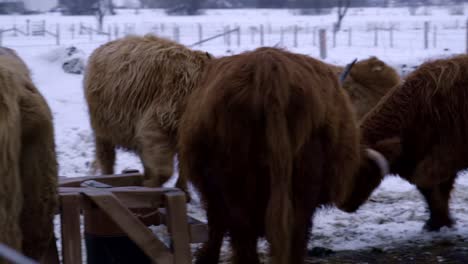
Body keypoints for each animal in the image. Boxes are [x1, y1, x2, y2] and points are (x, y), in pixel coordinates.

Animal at [84, 34, 212, 197]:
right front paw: (151, 186)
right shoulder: (156, 125)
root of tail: (101, 48)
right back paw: (109, 177)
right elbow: (165, 171)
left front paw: (183, 191)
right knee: (107, 157)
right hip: (102, 128)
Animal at [177, 48, 386, 264]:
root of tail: (271, 79)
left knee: (244, 234)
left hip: (236, 184)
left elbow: (216, 224)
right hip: (300, 184)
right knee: (293, 234)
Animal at [338, 55, 468, 231]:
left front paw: (439, 222)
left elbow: (433, 188)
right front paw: (436, 222)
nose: (342, 206)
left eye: (360, 170)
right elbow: (430, 191)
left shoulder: (442, 160)